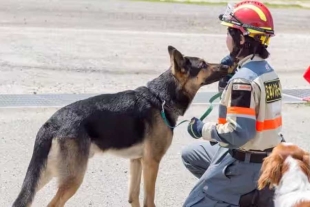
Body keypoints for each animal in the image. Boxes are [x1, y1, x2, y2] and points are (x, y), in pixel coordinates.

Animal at [12, 46, 229, 207]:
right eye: (203, 64)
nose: (228, 65)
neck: (162, 97)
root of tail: (52, 122)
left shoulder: (137, 161)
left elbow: (133, 197)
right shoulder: (152, 162)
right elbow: (148, 200)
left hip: (45, 174)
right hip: (72, 177)